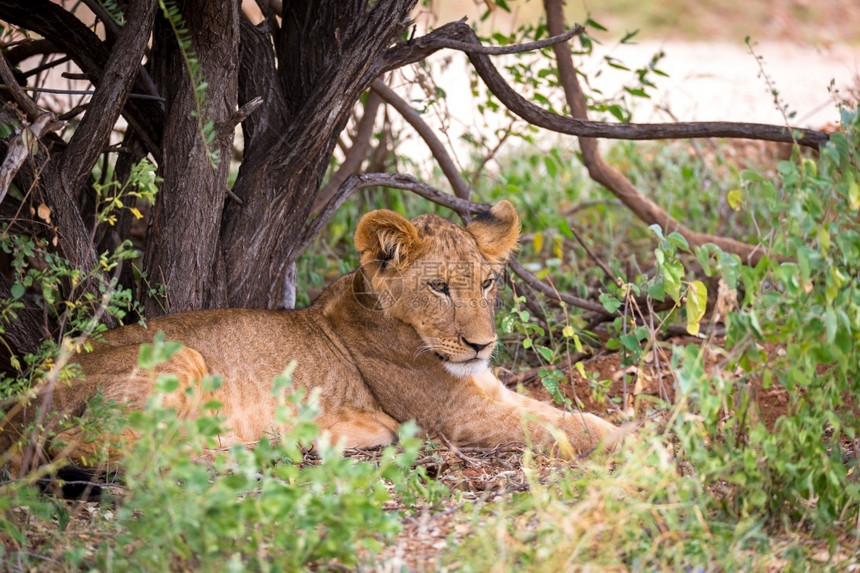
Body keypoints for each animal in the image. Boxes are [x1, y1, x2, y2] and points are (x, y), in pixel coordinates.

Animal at [1, 199, 620, 466]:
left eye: (488, 283)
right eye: (439, 288)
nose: (482, 345)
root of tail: (19, 411)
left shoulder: (486, 394)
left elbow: (558, 413)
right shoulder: (460, 418)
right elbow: (566, 428)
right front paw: (634, 444)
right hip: (179, 356)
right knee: (85, 448)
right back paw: (238, 451)